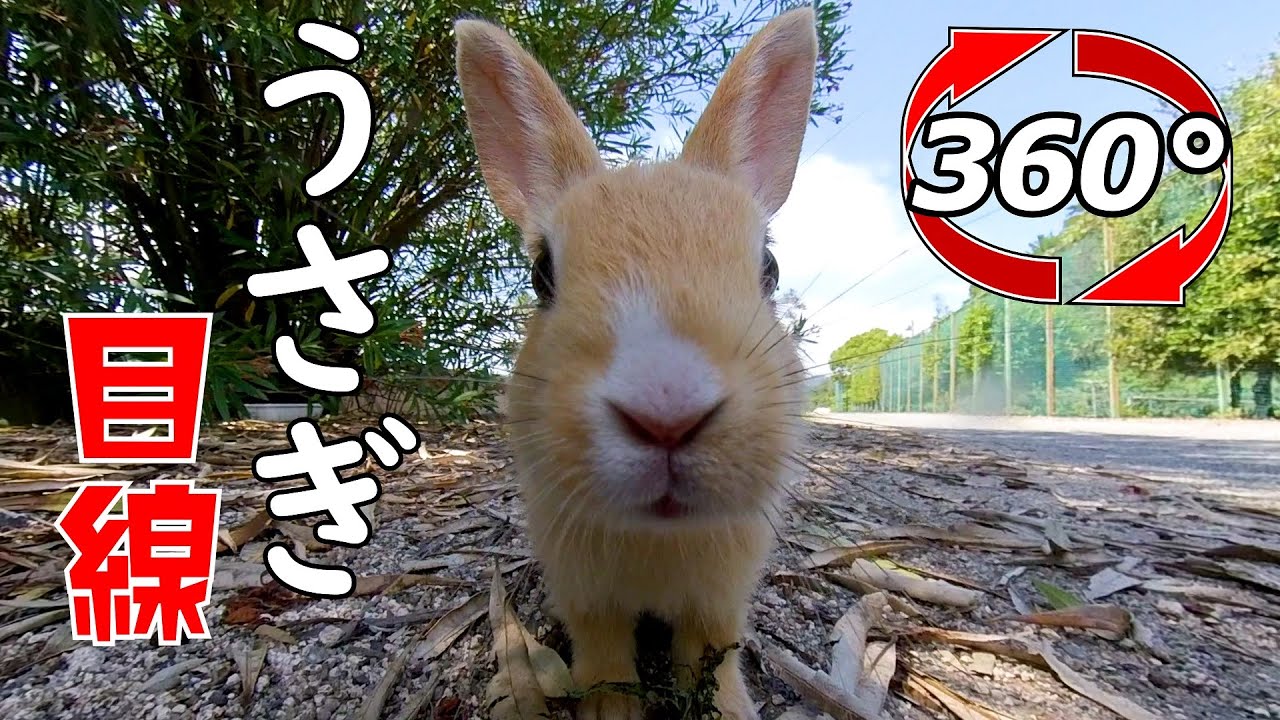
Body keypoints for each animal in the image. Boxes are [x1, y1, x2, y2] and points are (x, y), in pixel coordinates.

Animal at [455, 7, 817, 719]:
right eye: (541, 275)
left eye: (769, 267)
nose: (667, 415)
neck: (658, 536)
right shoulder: (587, 594)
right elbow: (603, 655)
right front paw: (608, 712)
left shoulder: (719, 600)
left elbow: (712, 651)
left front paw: (732, 708)